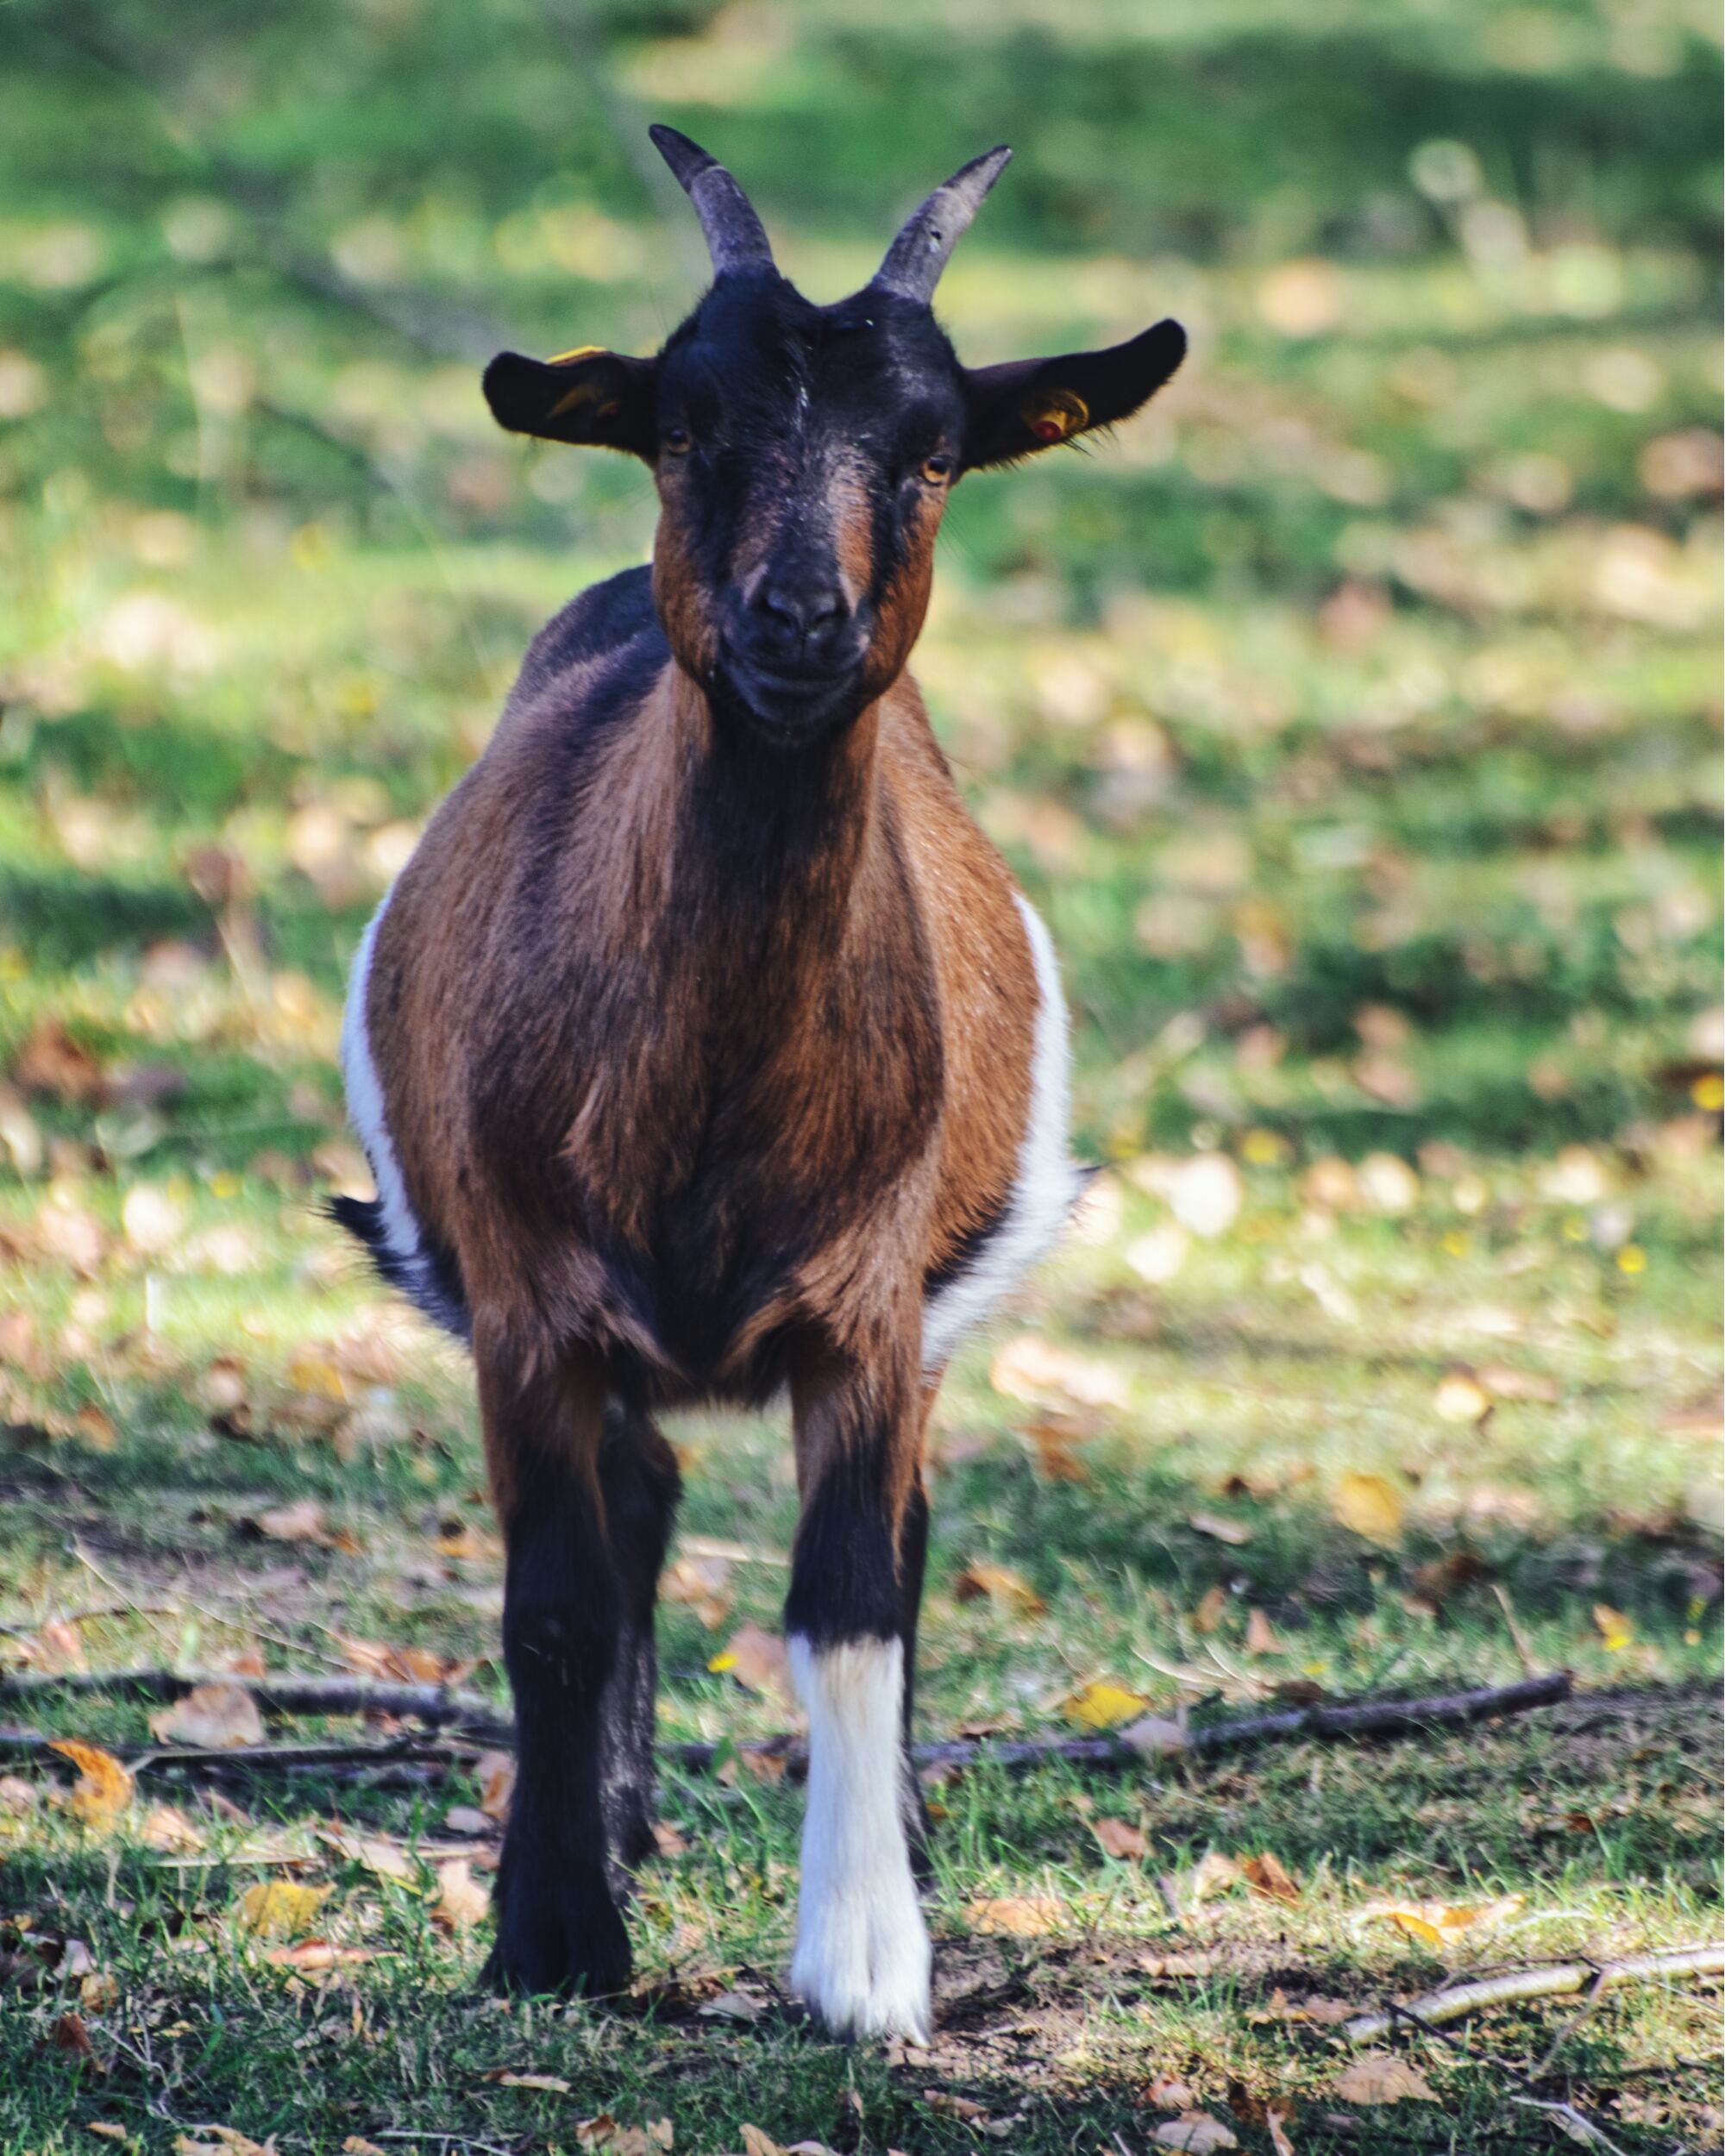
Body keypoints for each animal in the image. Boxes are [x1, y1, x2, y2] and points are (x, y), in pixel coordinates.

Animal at [341, 126, 1190, 2044]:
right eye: (681, 430)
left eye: (934, 450)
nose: (797, 620)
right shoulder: (526, 1295)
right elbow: (559, 1602)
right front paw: (552, 1933)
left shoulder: (869, 1301)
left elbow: (856, 1596)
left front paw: (868, 1956)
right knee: (636, 1507)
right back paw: (614, 1819)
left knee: (901, 1530)